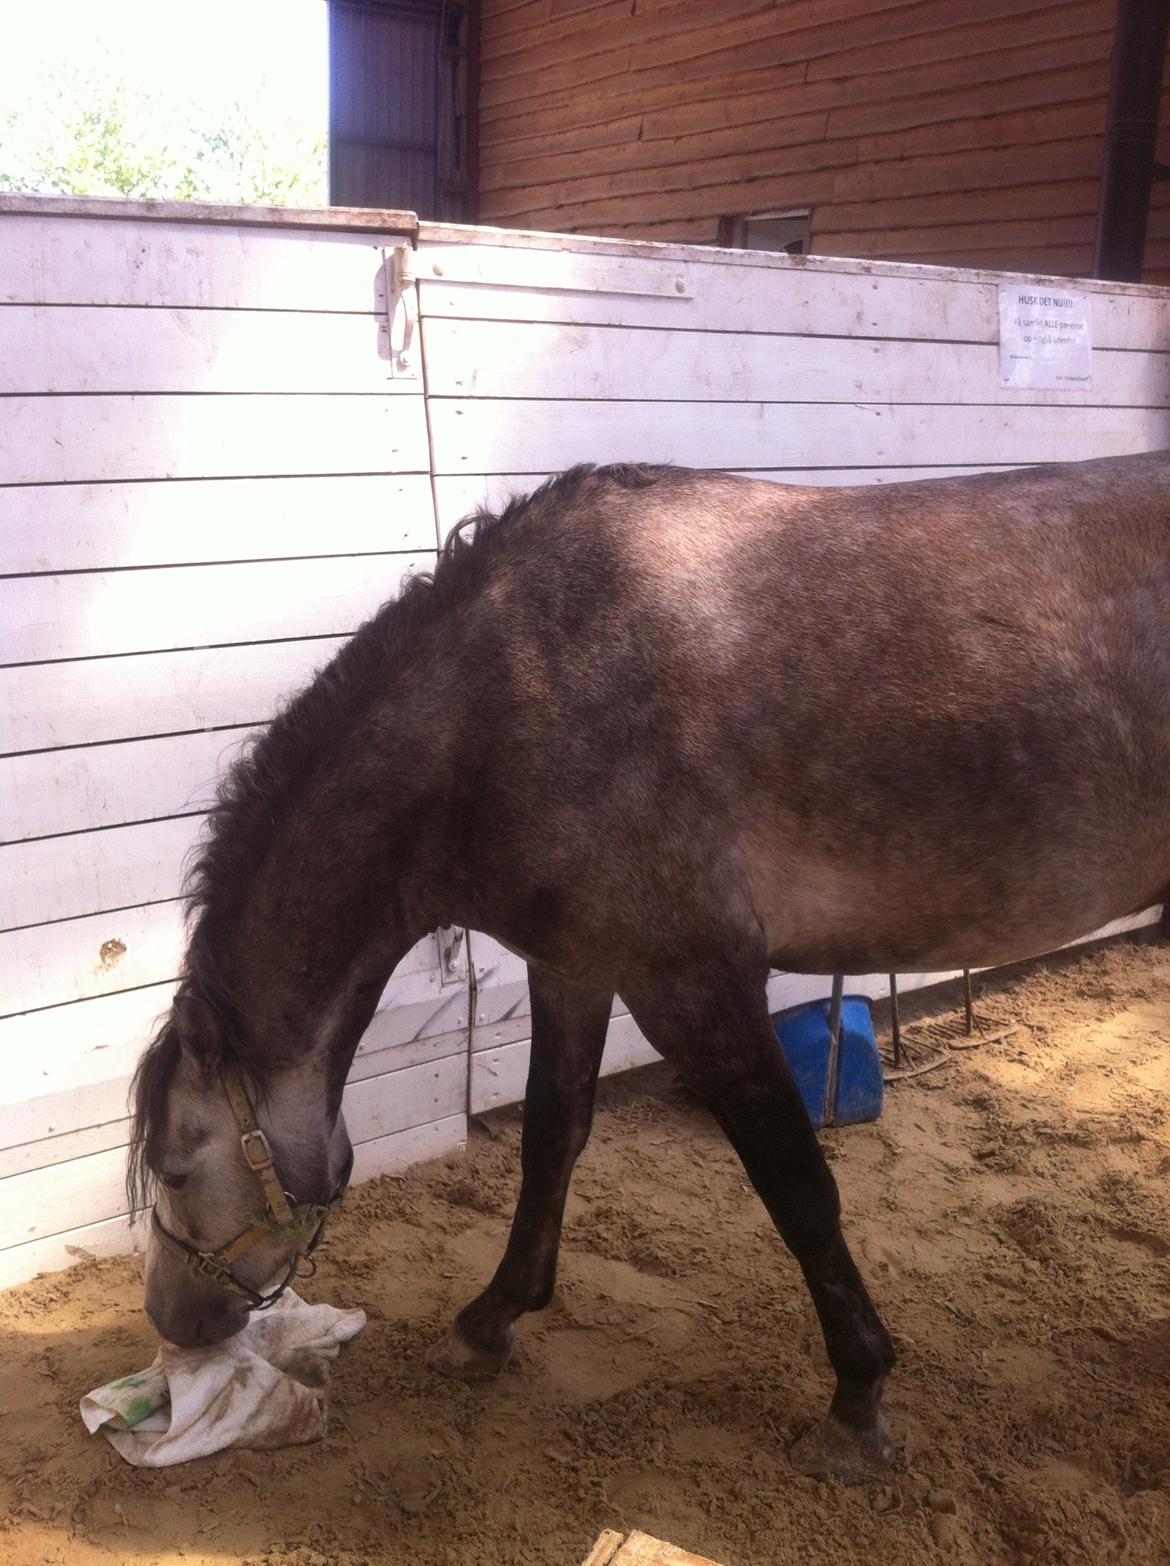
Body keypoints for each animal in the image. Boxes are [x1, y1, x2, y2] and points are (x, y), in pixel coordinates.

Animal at [127, 450, 1170, 1483]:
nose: (171, 1321)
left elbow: (799, 1189)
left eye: (175, 1168)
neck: (506, 704)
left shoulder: (694, 987)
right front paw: (490, 1322)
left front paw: (858, 1397)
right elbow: (551, 1136)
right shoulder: (576, 967)